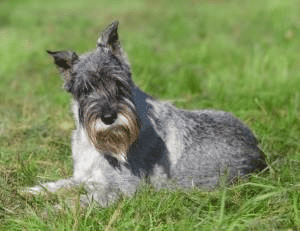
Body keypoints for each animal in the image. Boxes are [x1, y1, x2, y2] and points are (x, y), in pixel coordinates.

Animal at [27, 20, 266, 207]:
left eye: (119, 83)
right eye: (85, 89)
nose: (108, 117)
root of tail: (257, 147)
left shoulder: (121, 190)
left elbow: (75, 202)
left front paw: (44, 213)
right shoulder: (83, 178)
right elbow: (58, 185)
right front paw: (30, 191)